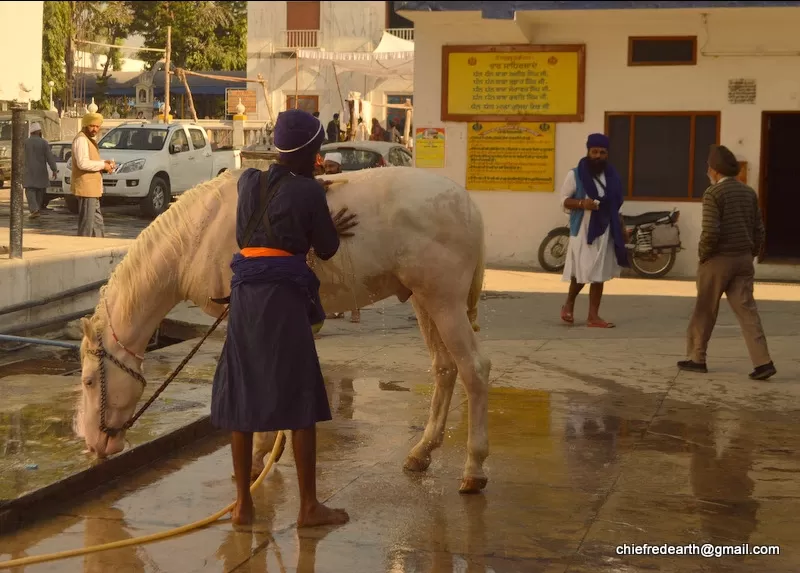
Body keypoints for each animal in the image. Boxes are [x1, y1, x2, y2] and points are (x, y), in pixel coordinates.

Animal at [78, 165, 496, 492]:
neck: (195, 237)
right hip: (424, 301)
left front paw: (256, 455)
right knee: (445, 369)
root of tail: (469, 205)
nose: (93, 444)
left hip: (444, 302)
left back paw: (474, 469)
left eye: (87, 381)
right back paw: (422, 452)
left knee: (474, 370)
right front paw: (269, 449)